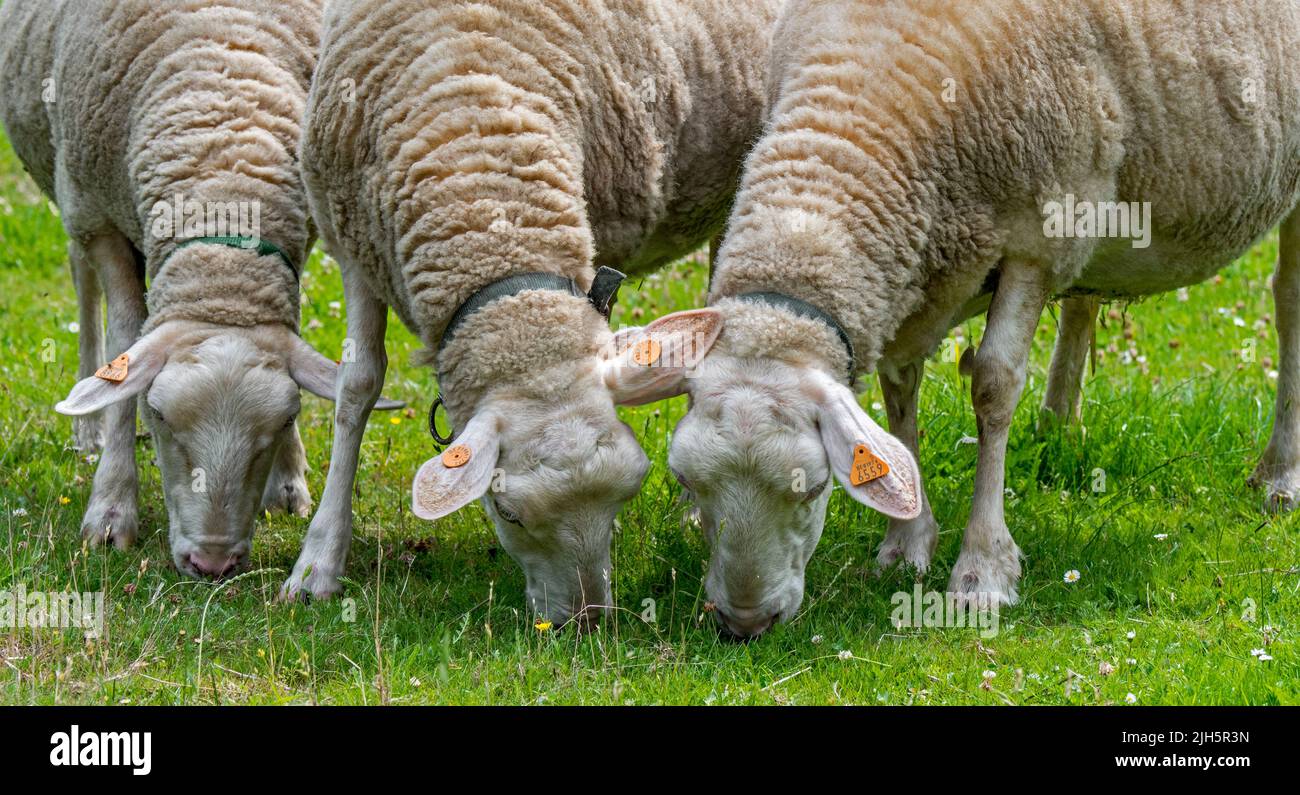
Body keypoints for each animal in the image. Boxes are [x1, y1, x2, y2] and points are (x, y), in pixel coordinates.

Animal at [0, 0, 385, 578]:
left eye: (287, 418)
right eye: (157, 417)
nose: (212, 563)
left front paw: (288, 480)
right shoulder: (99, 218)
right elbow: (123, 346)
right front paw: (111, 510)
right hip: (71, 193)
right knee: (82, 280)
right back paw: (88, 430)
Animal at [290, 0, 782, 625]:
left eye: (626, 495)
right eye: (507, 513)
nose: (587, 621)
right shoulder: (355, 247)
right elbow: (357, 388)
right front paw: (318, 562)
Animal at [669, 0, 1300, 637]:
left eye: (816, 488)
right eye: (687, 483)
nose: (744, 624)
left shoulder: (1039, 240)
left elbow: (994, 386)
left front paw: (984, 570)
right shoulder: (920, 270)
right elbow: (900, 391)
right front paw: (907, 543)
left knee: (1289, 302)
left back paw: (1279, 476)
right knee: (1082, 304)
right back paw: (1057, 427)